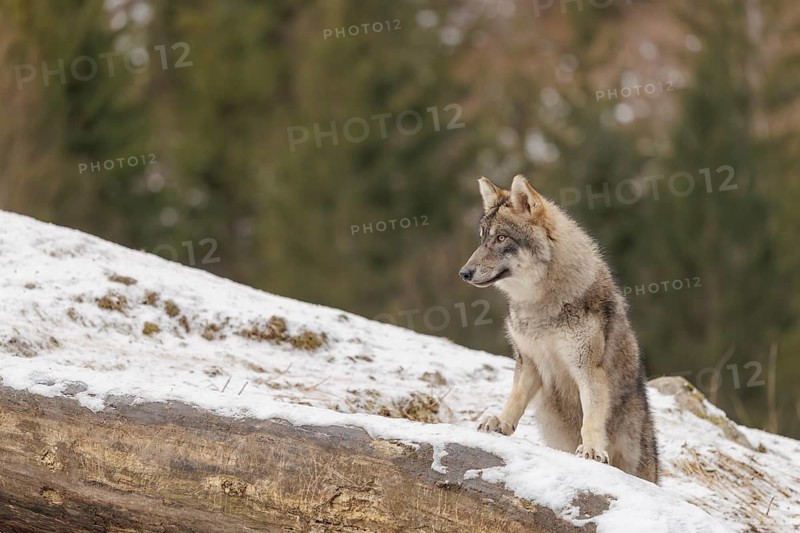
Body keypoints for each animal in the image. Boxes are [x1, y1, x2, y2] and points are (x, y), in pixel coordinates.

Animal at [459, 175, 658, 483]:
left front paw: (592, 450)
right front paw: (501, 422)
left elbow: (591, 417)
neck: (542, 306)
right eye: (482, 238)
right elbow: (516, 397)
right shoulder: (529, 360)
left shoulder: (587, 368)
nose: (464, 273)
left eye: (501, 238)